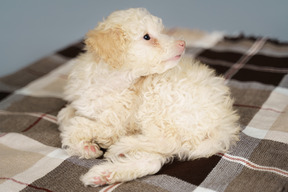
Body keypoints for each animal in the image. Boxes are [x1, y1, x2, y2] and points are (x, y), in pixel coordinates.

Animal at [56, 8, 241, 187]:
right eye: (147, 37)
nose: (183, 43)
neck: (111, 80)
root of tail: (224, 125)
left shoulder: (114, 124)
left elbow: (78, 126)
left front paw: (84, 145)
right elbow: (65, 114)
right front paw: (85, 146)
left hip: (160, 102)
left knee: (168, 143)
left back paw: (122, 147)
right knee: (153, 161)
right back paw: (104, 174)